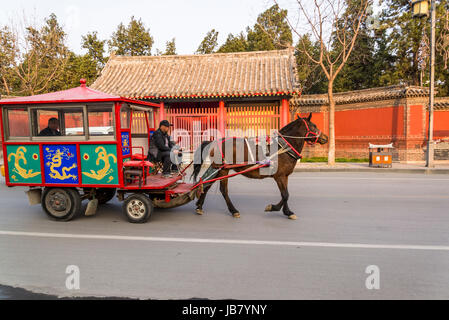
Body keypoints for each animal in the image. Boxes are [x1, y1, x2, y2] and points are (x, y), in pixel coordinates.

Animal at [191, 114, 328, 220]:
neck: (283, 148)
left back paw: (199, 206)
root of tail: (215, 142)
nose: (325, 138)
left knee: (206, 184)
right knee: (222, 190)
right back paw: (233, 210)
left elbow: (285, 195)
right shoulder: (279, 176)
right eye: (314, 125)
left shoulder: (285, 176)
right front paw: (273, 208)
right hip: (223, 169)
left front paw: (287, 212)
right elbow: (285, 195)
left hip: (219, 169)